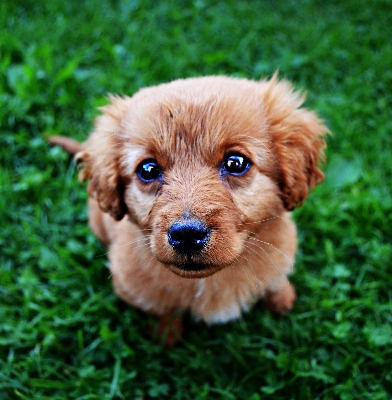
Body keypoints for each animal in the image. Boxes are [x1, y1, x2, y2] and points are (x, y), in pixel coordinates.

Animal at [49, 75, 328, 346]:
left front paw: (282, 300)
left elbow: (275, 281)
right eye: (148, 169)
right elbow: (165, 310)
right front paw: (166, 336)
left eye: (236, 163)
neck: (208, 280)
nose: (186, 235)